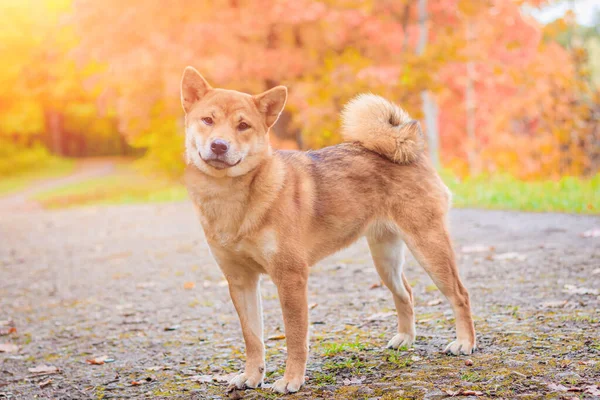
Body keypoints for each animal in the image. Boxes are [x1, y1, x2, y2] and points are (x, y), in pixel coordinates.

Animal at [180, 66, 476, 394]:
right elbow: (253, 338)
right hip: (385, 259)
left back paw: (465, 343)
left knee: (460, 295)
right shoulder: (240, 281)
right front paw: (252, 376)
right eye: (208, 120)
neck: (232, 197)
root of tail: (411, 151)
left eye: (243, 125)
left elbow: (295, 338)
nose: (219, 145)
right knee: (406, 294)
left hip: (428, 248)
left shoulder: (291, 277)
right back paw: (405, 339)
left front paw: (291, 380)